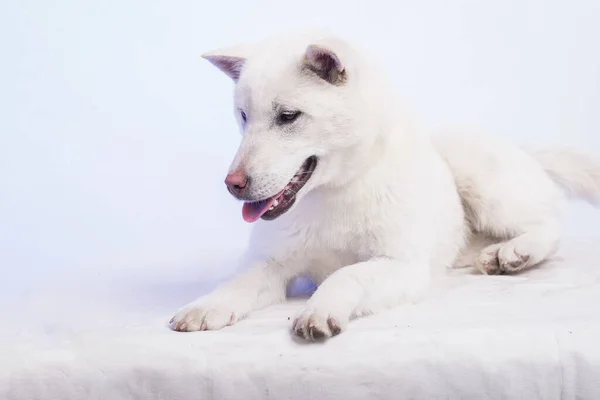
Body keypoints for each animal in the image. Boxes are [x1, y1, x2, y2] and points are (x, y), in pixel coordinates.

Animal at [169, 31, 600, 340]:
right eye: (243, 116)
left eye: (288, 116)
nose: (233, 184)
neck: (334, 192)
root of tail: (526, 152)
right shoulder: (270, 265)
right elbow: (238, 282)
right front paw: (207, 305)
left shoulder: (401, 267)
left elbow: (348, 274)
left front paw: (320, 308)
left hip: (475, 170)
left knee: (550, 225)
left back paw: (516, 252)